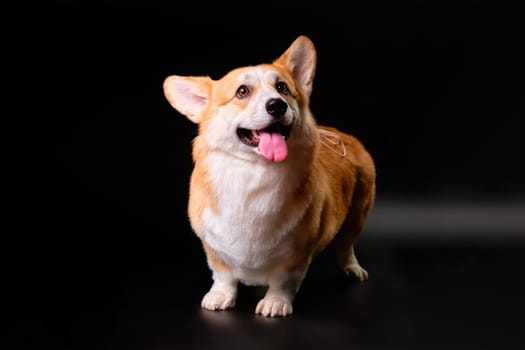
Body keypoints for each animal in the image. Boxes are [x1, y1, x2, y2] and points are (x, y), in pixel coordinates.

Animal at [162, 35, 374, 318]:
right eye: (242, 91)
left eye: (282, 88)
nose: (277, 105)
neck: (253, 173)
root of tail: (339, 132)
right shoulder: (213, 247)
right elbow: (223, 274)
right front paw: (220, 296)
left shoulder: (297, 254)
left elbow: (283, 280)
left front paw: (275, 302)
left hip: (357, 216)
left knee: (346, 245)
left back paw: (352, 268)